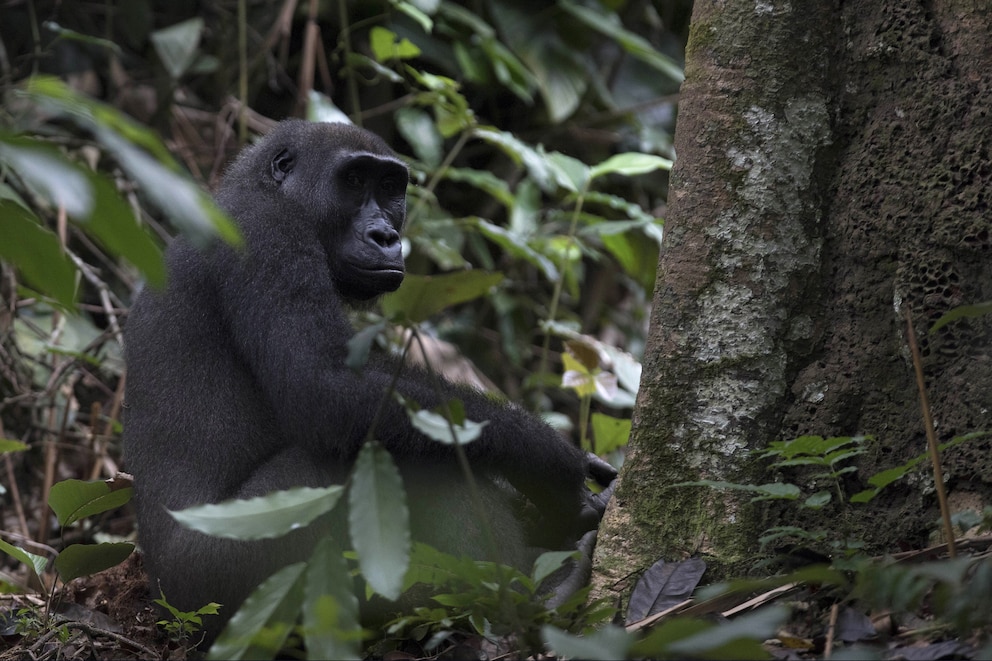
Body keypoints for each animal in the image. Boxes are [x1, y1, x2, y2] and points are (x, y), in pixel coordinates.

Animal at [122, 118, 612, 640]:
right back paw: (526, 598)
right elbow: (327, 388)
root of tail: (162, 603)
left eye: (390, 187)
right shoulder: (266, 232)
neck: (262, 189)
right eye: (355, 181)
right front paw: (552, 462)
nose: (385, 235)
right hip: (216, 587)